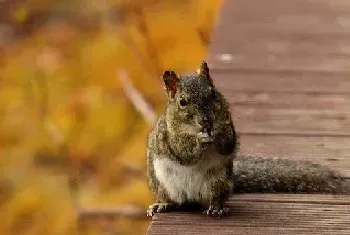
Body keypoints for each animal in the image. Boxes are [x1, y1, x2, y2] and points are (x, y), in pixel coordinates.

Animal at [146, 61, 350, 218]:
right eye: (182, 102)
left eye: (213, 93)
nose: (207, 121)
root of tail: (191, 198)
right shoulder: (168, 136)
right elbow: (183, 151)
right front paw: (199, 139)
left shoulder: (229, 126)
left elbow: (228, 143)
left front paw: (217, 135)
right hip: (160, 182)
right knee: (173, 200)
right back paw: (163, 205)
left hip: (219, 182)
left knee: (214, 198)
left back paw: (216, 208)